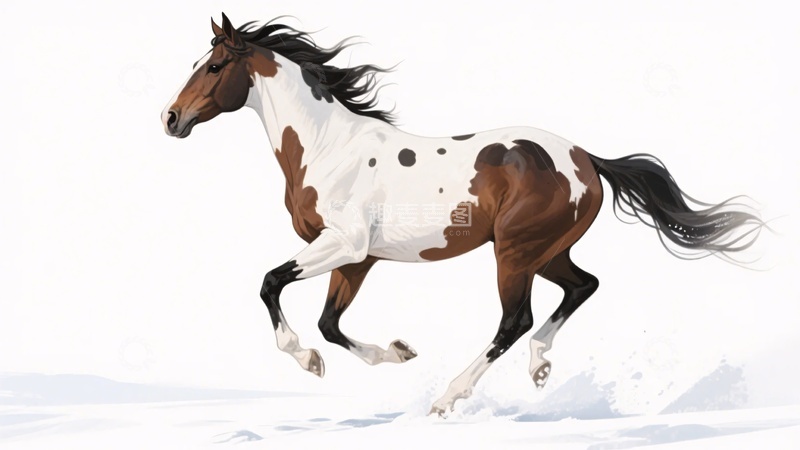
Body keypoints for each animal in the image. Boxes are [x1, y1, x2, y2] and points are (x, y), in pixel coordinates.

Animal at [161, 13, 765, 416]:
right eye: (196, 63)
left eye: (214, 66)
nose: (170, 118)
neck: (329, 146)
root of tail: (585, 158)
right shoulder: (358, 259)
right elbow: (330, 324)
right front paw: (398, 352)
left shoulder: (345, 245)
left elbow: (270, 284)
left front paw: (307, 360)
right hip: (544, 250)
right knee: (583, 285)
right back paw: (539, 367)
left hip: (514, 252)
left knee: (515, 320)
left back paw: (449, 397)